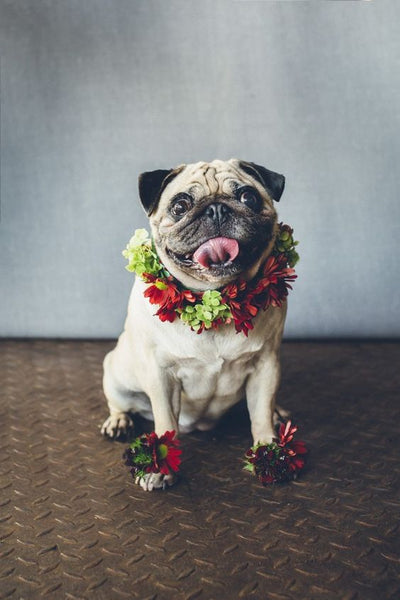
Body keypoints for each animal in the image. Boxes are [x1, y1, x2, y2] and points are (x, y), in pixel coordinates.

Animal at [101, 161, 290, 492]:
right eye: (180, 206)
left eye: (248, 197)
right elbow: (165, 423)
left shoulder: (266, 365)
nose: (216, 209)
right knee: (120, 403)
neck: (216, 298)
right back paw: (119, 422)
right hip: (116, 373)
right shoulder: (161, 375)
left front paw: (269, 455)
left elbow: (260, 415)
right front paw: (159, 468)